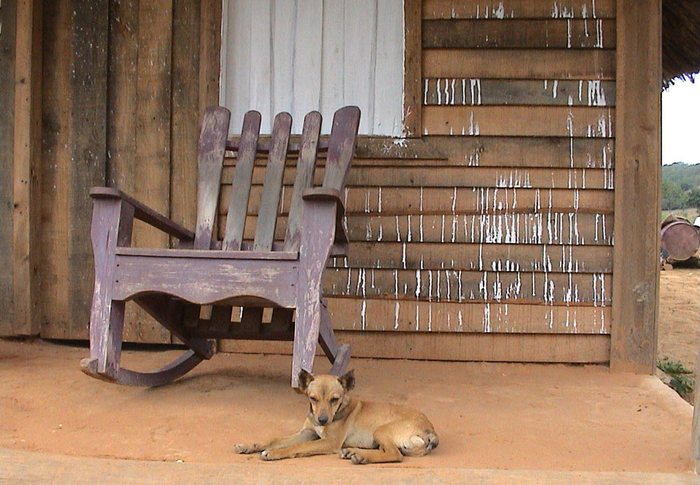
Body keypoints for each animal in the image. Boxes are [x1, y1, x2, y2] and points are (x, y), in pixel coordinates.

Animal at [234, 368, 438, 464]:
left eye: (334, 399)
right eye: (313, 398)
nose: (322, 420)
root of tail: (430, 430)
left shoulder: (328, 442)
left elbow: (298, 447)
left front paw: (275, 453)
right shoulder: (307, 432)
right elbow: (274, 439)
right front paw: (249, 446)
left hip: (381, 430)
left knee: (395, 454)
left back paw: (360, 456)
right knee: (386, 451)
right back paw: (353, 452)